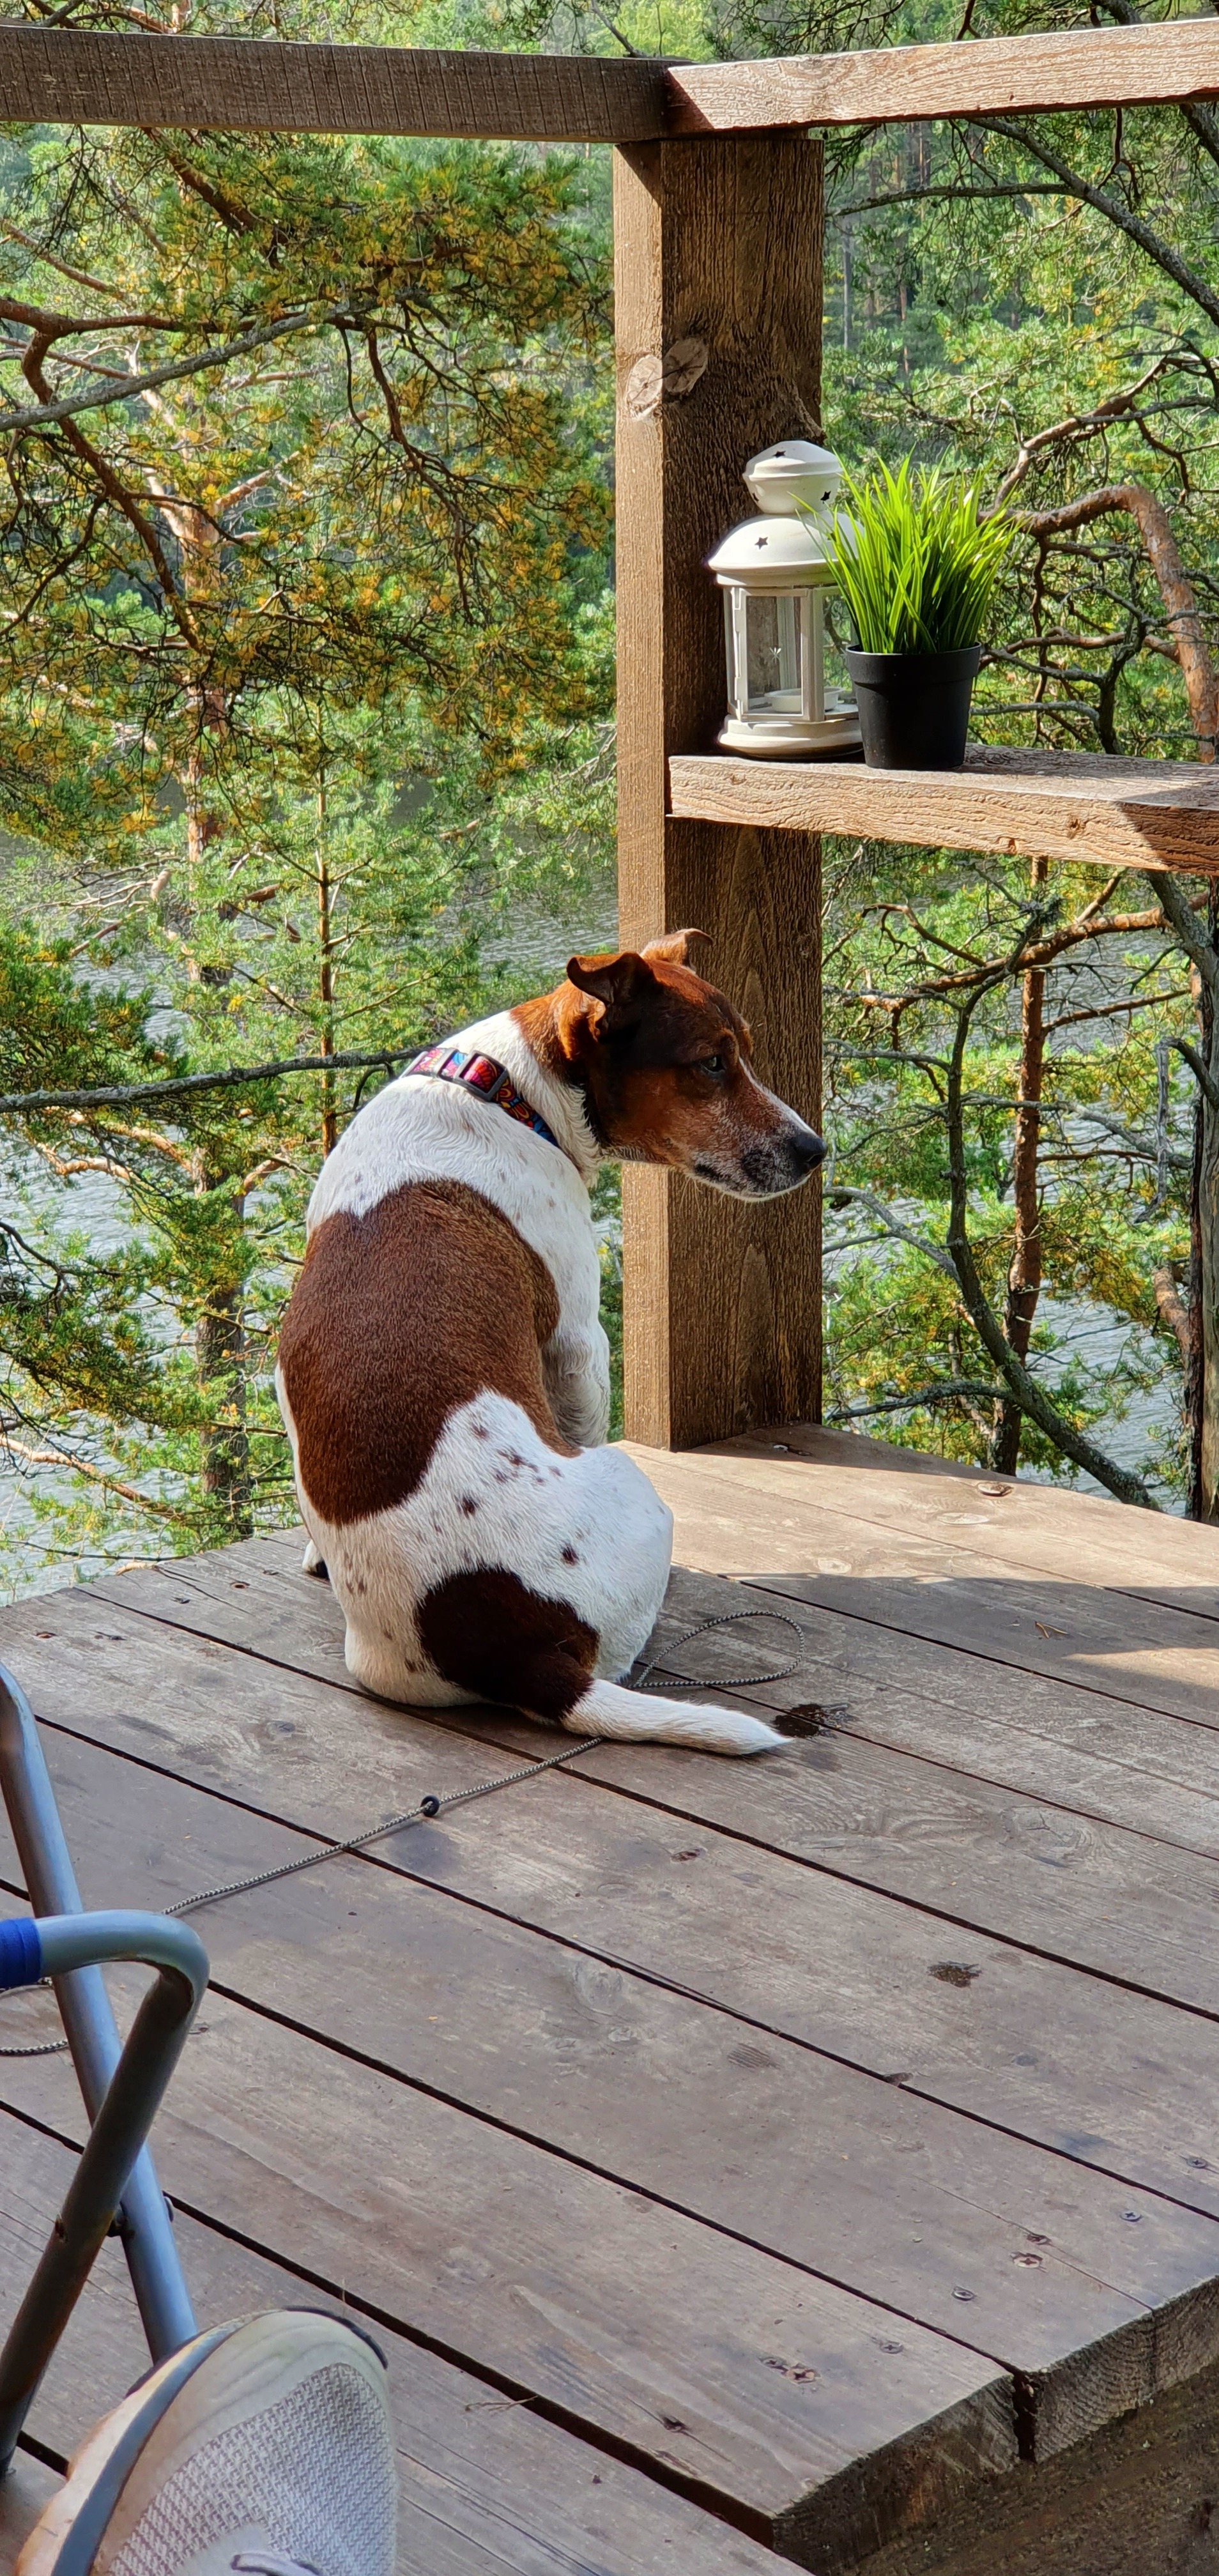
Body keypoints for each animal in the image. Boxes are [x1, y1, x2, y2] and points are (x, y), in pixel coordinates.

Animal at [273, 937, 824, 1761]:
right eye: (711, 1064)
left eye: (745, 1054)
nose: (815, 1149)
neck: (503, 1092)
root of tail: (514, 1653)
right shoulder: (580, 1347)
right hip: (634, 1486)